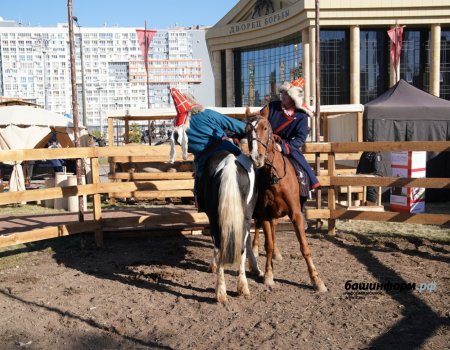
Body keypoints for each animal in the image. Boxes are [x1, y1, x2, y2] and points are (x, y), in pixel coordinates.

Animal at [246, 109, 326, 292]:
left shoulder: (296, 214)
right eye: (246, 131)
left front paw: (317, 280)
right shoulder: (264, 214)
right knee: (260, 230)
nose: (256, 158)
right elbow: (267, 244)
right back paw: (255, 249)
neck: (275, 178)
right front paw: (268, 275)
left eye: (265, 128)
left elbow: (304, 247)